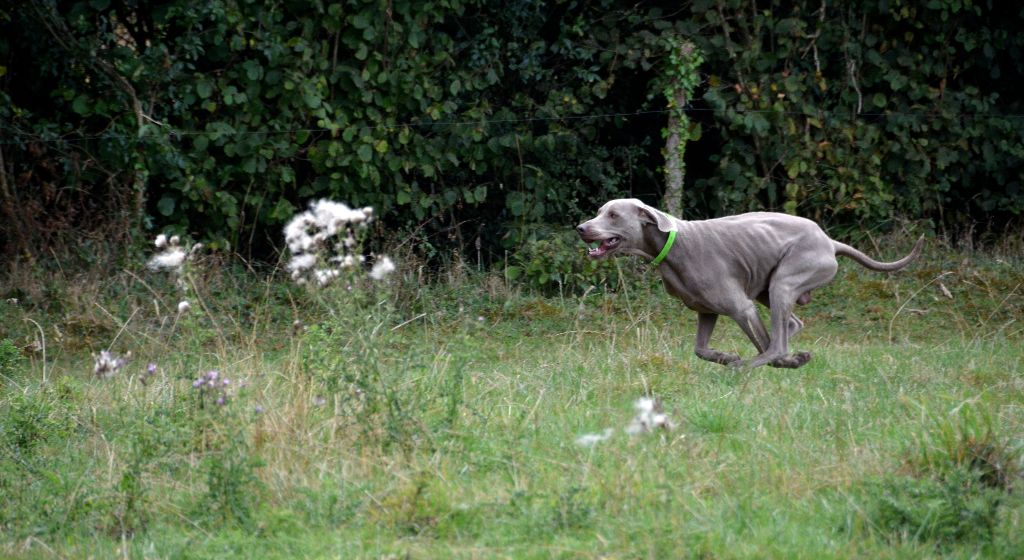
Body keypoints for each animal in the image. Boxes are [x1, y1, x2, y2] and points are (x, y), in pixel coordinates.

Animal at [577, 199, 929, 370]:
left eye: (613, 215)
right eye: (599, 211)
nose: (580, 227)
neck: (671, 246)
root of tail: (829, 241)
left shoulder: (741, 308)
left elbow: (764, 343)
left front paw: (781, 362)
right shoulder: (706, 311)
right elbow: (699, 349)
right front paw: (726, 356)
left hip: (784, 281)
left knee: (775, 343)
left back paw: (759, 364)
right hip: (767, 287)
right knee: (791, 324)